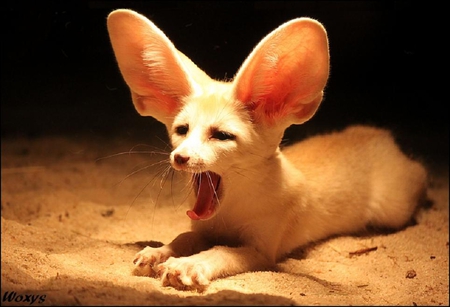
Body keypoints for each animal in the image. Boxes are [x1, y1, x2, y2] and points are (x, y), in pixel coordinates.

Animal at [107, 9, 428, 292]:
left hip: (392, 210)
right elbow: (183, 237)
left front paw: (187, 265)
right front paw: (159, 252)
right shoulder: (202, 229)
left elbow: (222, 252)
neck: (230, 211)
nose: (180, 157)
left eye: (222, 135)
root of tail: (378, 134)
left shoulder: (260, 249)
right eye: (182, 130)